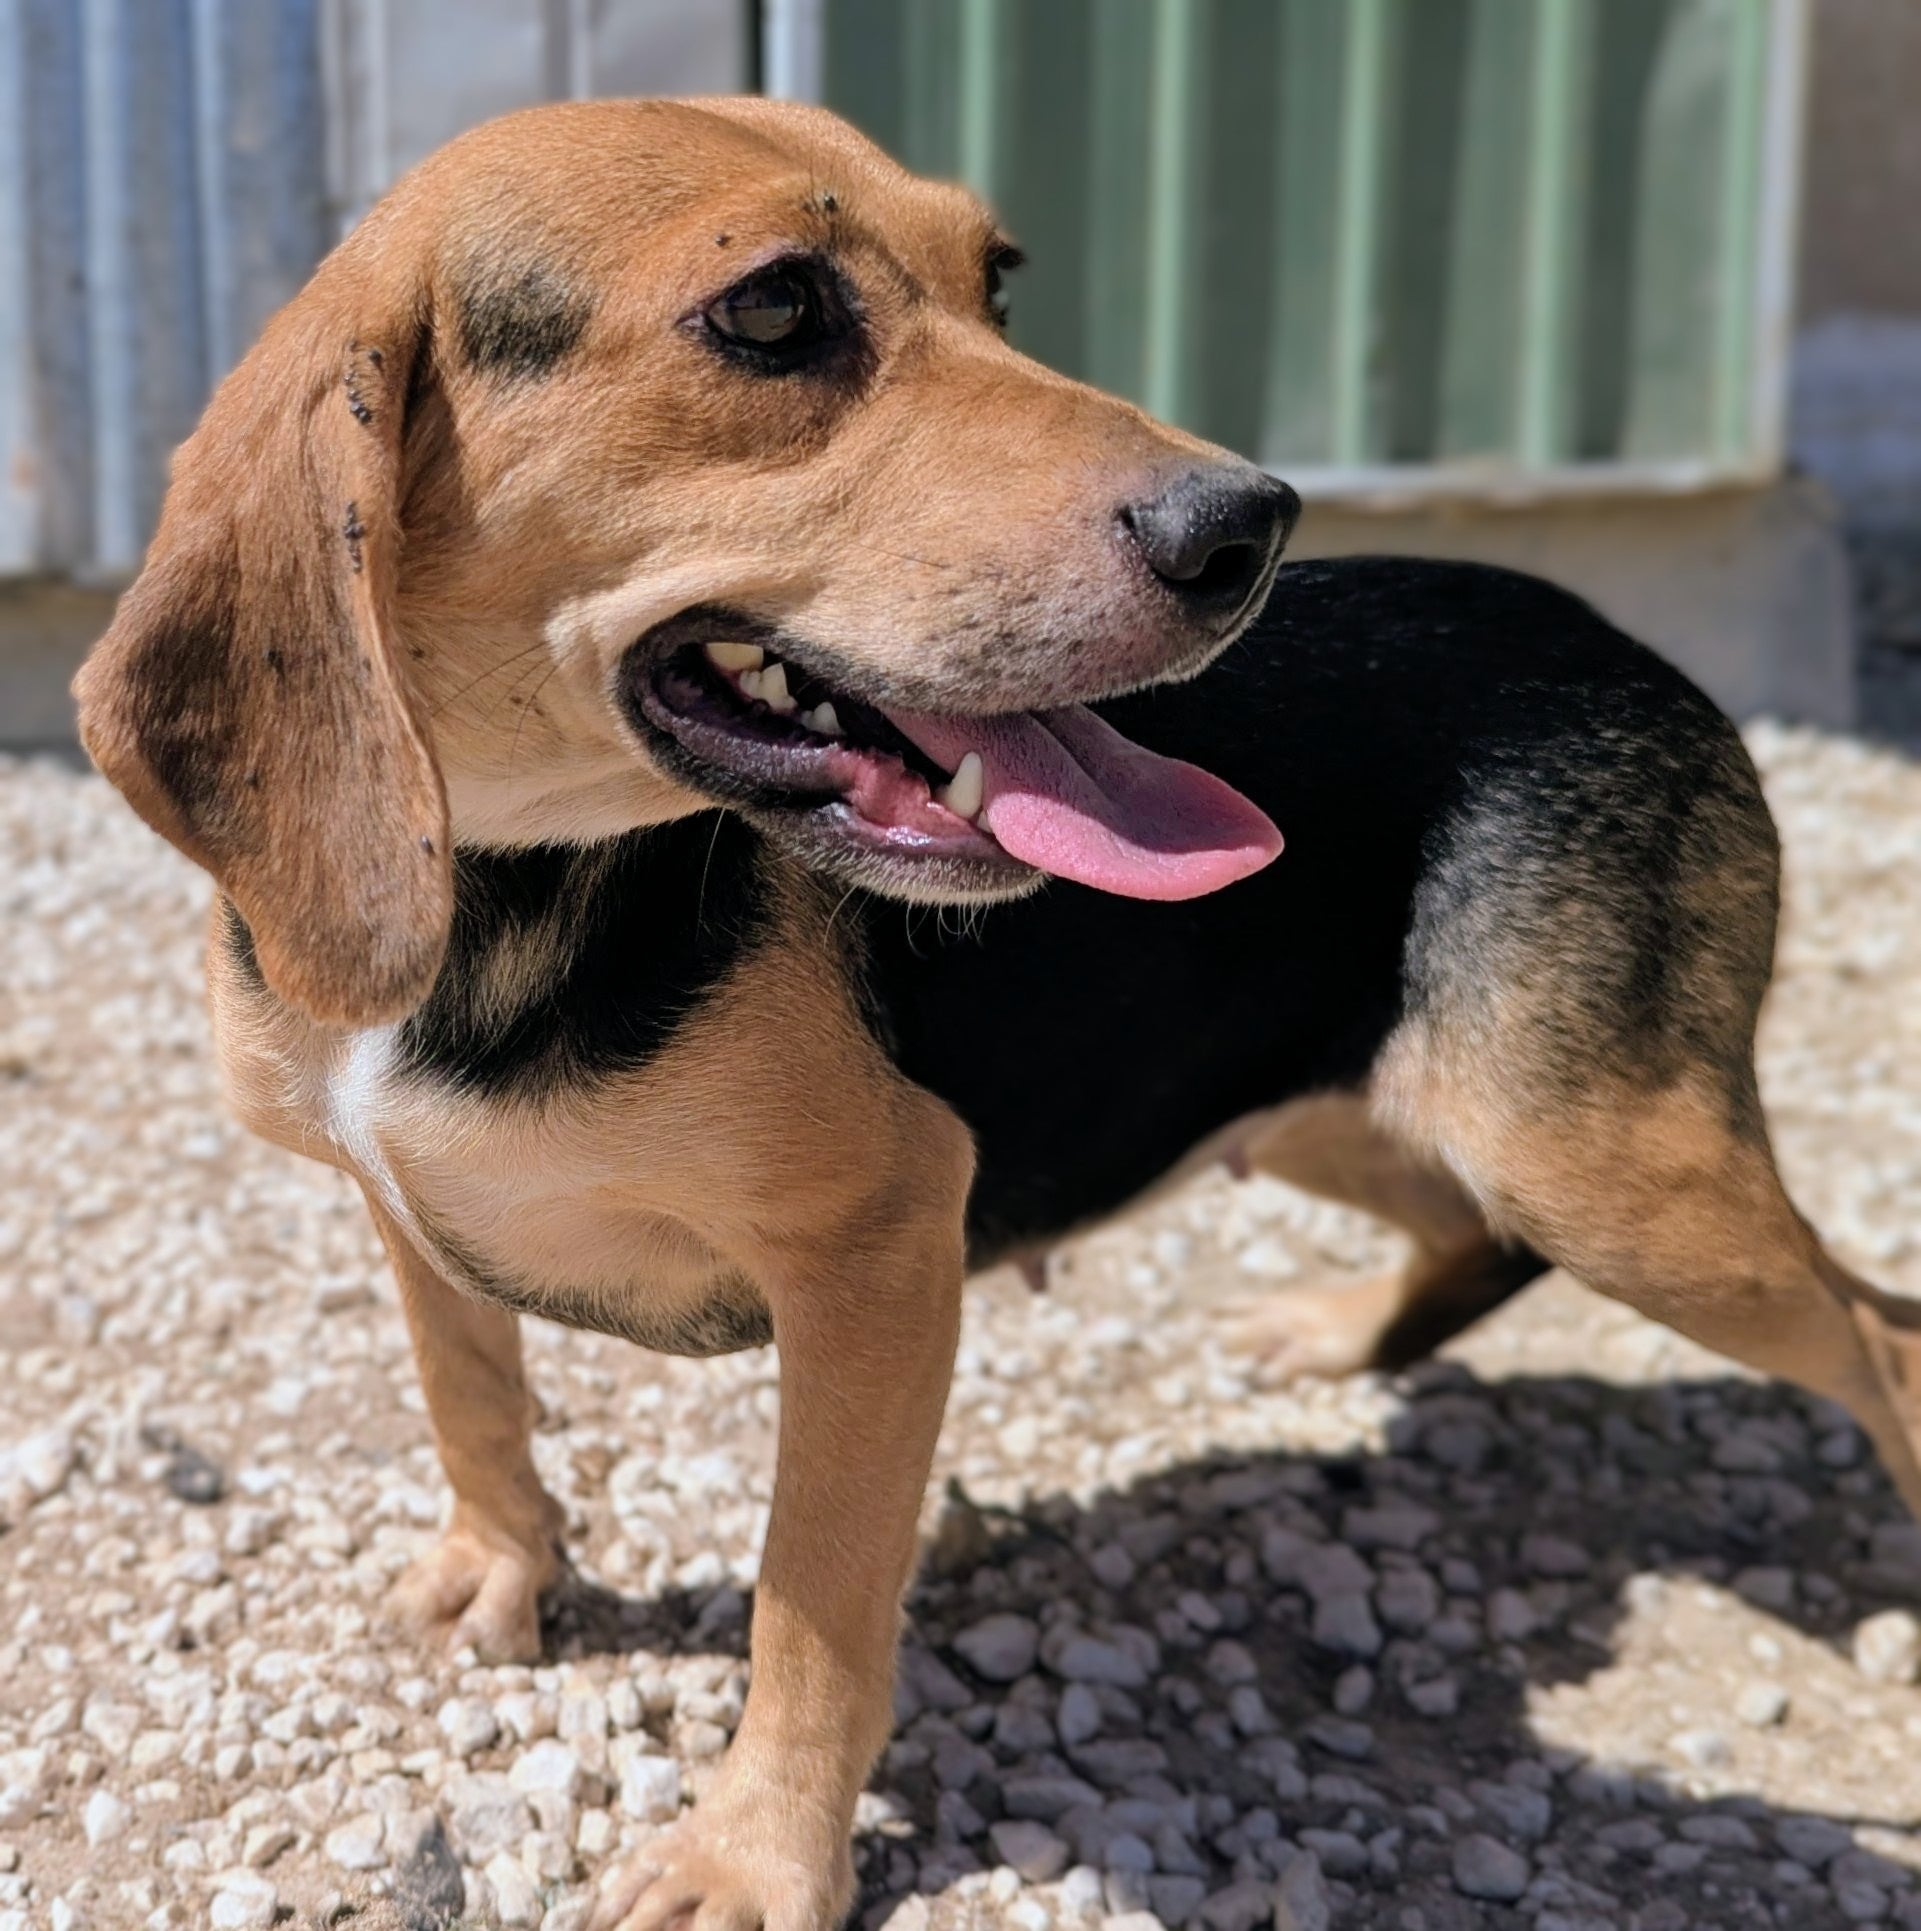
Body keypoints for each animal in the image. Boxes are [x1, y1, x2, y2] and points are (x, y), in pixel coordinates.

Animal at [72, 98, 1921, 1930]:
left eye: (1000, 281)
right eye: (771, 309)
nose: (1250, 527)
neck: (507, 887)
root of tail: (1626, 640)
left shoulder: (881, 1248)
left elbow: (809, 1601)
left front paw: (752, 1857)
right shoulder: (403, 1208)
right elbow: (471, 1391)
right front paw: (500, 1569)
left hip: (1601, 1163)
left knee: (1876, 1331)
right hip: (1316, 1096)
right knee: (1478, 1233)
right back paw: (1335, 1332)